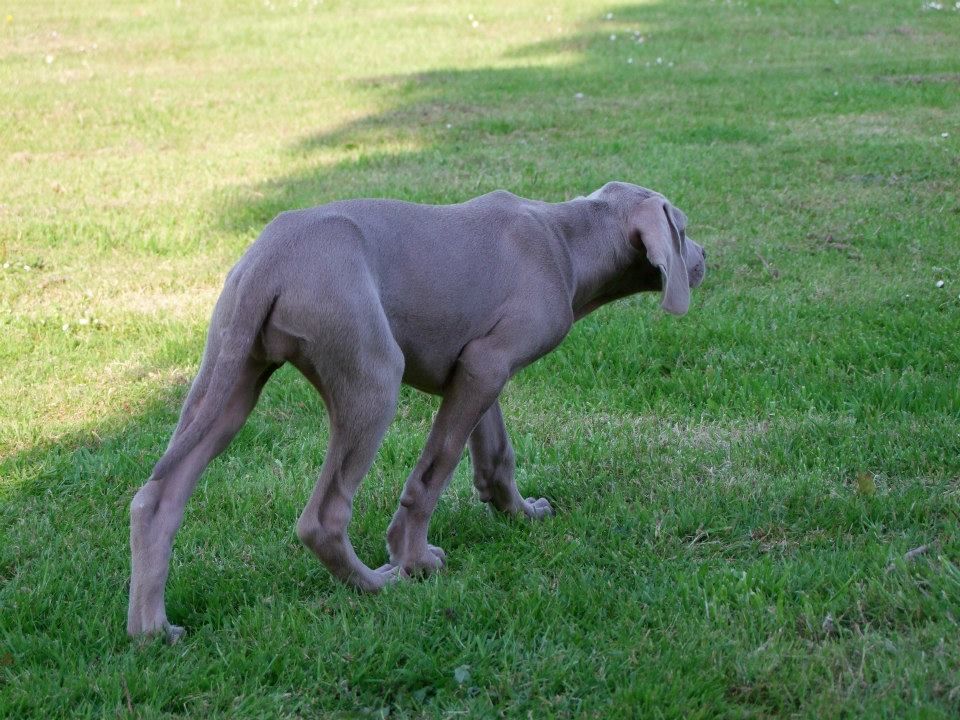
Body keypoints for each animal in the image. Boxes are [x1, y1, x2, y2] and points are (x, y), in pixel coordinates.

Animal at [127, 181, 706, 641]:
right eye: (682, 228)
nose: (704, 258)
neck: (565, 239)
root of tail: (267, 264)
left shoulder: (478, 368)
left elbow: (495, 454)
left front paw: (518, 512)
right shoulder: (485, 364)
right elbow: (435, 467)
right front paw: (414, 559)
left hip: (230, 372)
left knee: (157, 497)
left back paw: (152, 631)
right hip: (374, 376)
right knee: (322, 517)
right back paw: (377, 585)